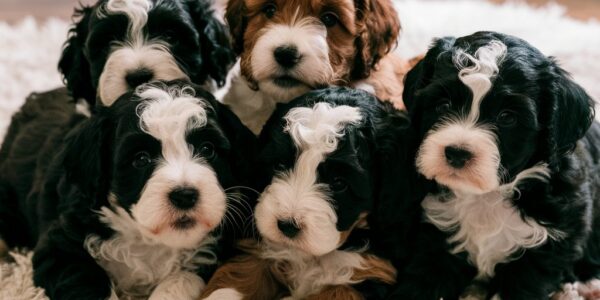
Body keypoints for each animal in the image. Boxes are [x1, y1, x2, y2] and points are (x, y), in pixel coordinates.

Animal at [0, 81, 255, 298]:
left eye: (207, 149)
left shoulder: (212, 253)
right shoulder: (59, 247)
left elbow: (180, 281)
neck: (146, 239)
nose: (185, 195)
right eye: (140, 159)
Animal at [394, 31, 600, 300]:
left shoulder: (549, 247)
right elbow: (425, 277)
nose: (457, 152)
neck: (487, 196)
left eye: (507, 117)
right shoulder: (437, 239)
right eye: (443, 105)